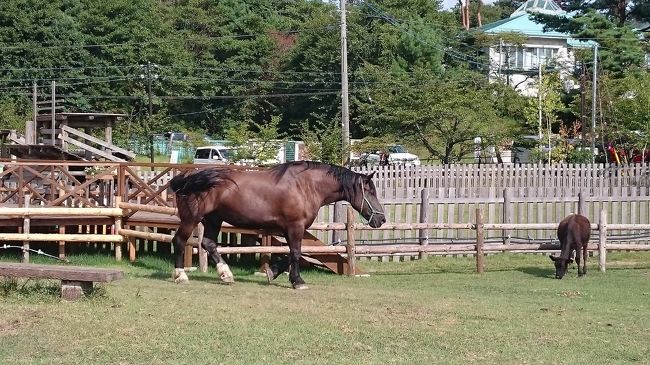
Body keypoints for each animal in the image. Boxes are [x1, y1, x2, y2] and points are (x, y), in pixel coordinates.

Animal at [170, 161, 388, 288]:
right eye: (370, 192)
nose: (381, 219)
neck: (306, 186)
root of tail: (187, 179)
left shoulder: (291, 229)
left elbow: (291, 253)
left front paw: (272, 272)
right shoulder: (295, 227)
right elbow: (296, 253)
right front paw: (297, 281)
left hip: (213, 219)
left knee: (208, 243)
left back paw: (226, 274)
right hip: (191, 219)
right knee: (179, 241)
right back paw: (181, 275)